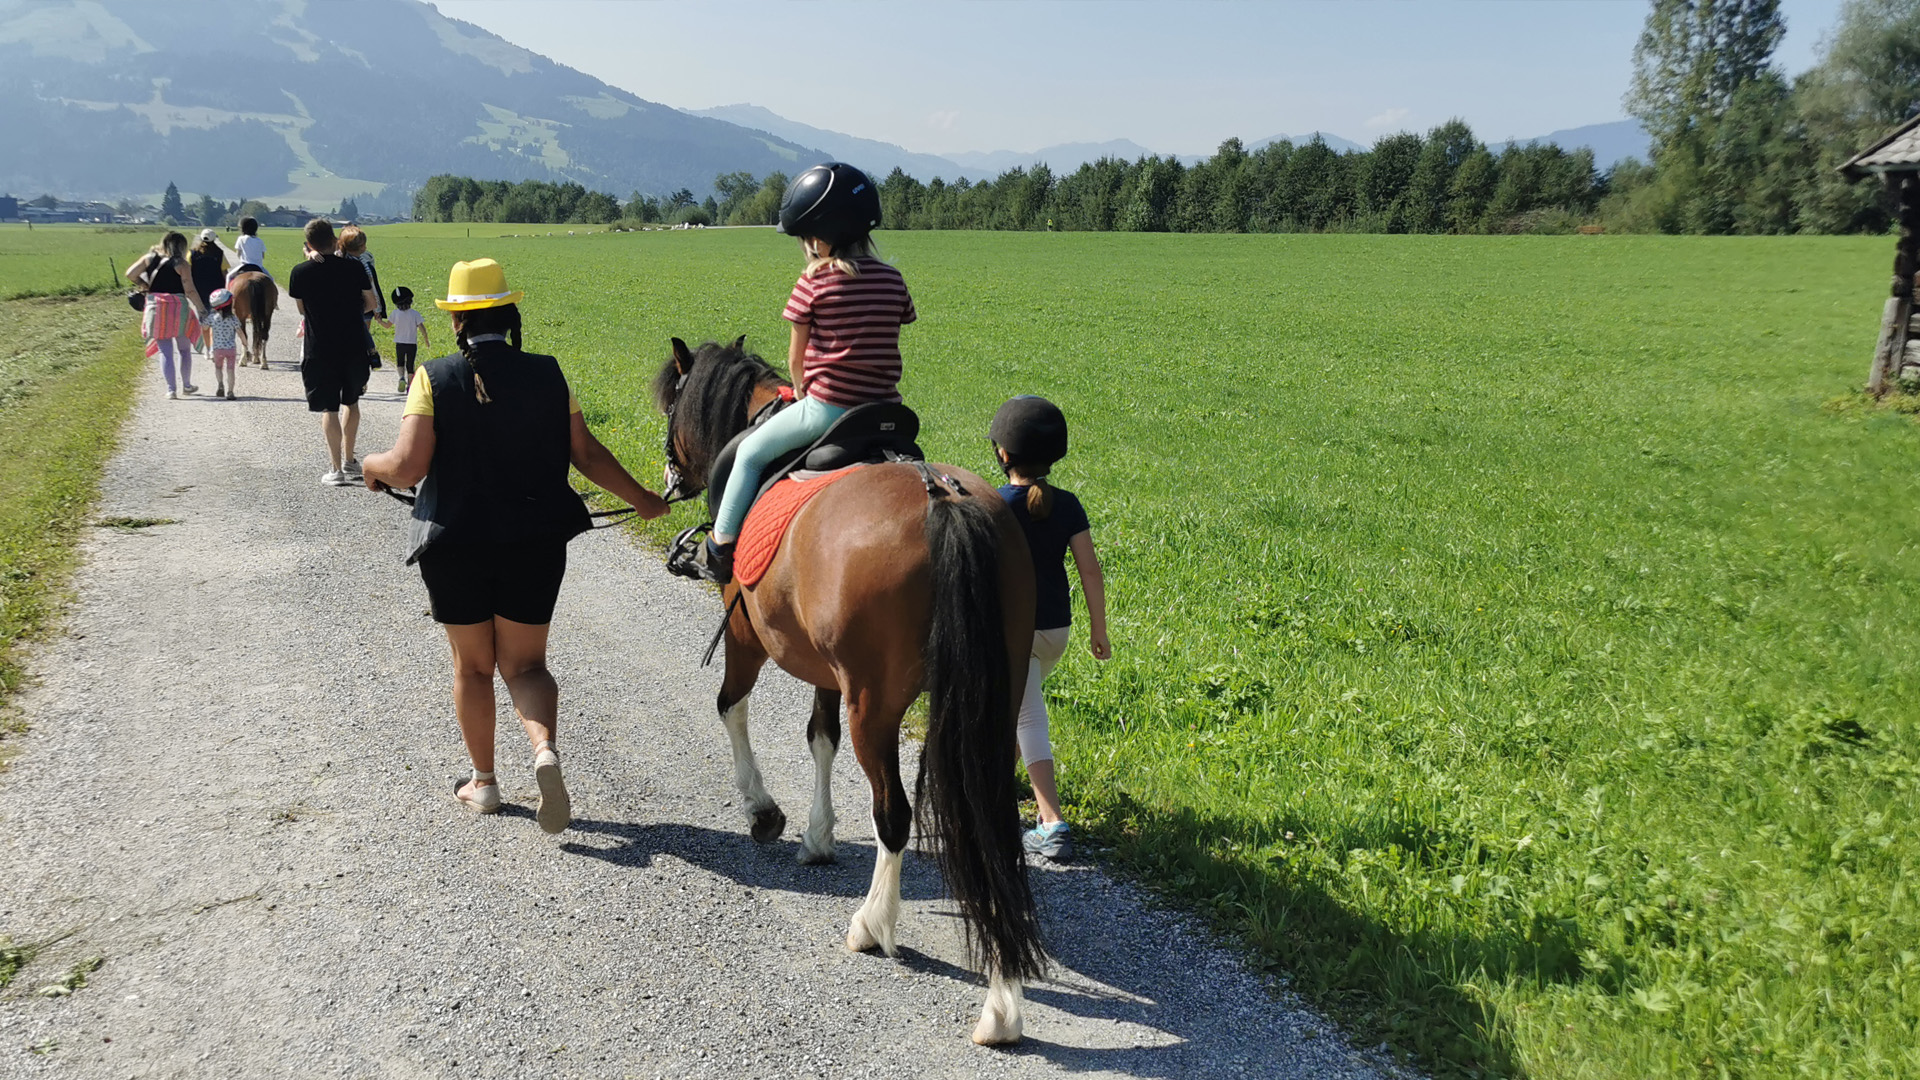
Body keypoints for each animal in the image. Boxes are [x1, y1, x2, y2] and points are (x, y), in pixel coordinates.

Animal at [660, 338, 1052, 1045]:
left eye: (672, 402)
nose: (671, 476)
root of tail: (940, 497)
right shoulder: (826, 670)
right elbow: (820, 738)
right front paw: (817, 835)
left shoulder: (744, 633)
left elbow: (731, 708)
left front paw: (764, 812)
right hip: (994, 700)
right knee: (990, 822)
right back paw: (1003, 1005)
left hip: (876, 702)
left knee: (893, 813)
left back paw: (873, 925)